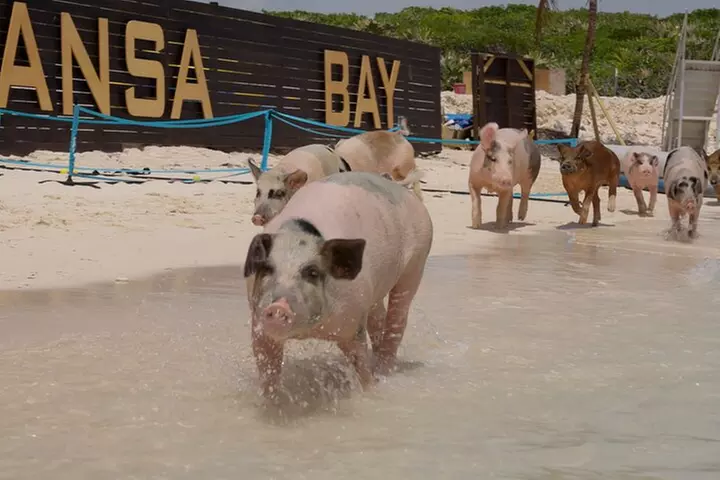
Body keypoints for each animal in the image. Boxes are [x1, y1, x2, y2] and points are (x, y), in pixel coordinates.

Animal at [243, 171, 433, 398]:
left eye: (312, 272)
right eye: (267, 268)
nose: (278, 307)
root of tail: (402, 189)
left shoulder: (352, 321)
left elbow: (360, 364)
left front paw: (372, 391)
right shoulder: (258, 324)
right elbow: (268, 372)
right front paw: (272, 401)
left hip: (417, 261)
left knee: (398, 318)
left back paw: (383, 371)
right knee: (378, 317)